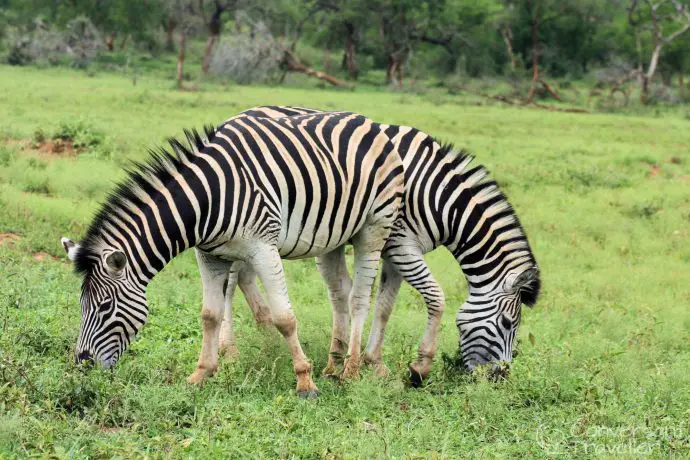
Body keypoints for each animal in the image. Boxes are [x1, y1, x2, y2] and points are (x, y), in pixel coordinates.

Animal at [60, 111, 404, 396]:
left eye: (105, 307)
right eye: (81, 305)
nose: (82, 365)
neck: (207, 200)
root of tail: (369, 122)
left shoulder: (264, 247)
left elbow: (284, 318)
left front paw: (305, 381)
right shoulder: (209, 255)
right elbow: (210, 315)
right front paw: (200, 374)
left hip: (374, 226)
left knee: (359, 298)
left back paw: (351, 370)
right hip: (334, 237)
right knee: (340, 293)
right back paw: (333, 366)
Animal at [223, 106, 540, 382]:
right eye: (507, 323)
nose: (500, 379)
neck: (439, 196)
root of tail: (241, 113)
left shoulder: (394, 251)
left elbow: (385, 306)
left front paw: (373, 363)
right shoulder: (400, 244)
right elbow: (435, 297)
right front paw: (420, 367)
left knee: (244, 278)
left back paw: (265, 336)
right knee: (230, 283)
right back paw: (230, 351)